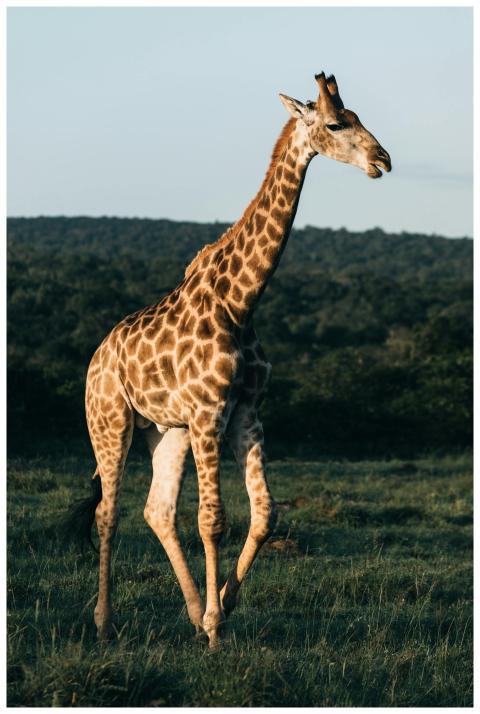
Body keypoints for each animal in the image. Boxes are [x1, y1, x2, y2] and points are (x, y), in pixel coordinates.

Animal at [78, 72, 391, 650]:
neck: (242, 301)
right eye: (337, 123)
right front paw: (217, 627)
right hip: (111, 422)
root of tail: (97, 357)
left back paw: (190, 610)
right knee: (109, 512)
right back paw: (106, 623)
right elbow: (214, 520)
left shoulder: (246, 410)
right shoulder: (209, 413)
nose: (383, 159)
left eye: (358, 116)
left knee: (157, 510)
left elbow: (264, 514)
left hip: (167, 430)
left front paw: (220, 606)